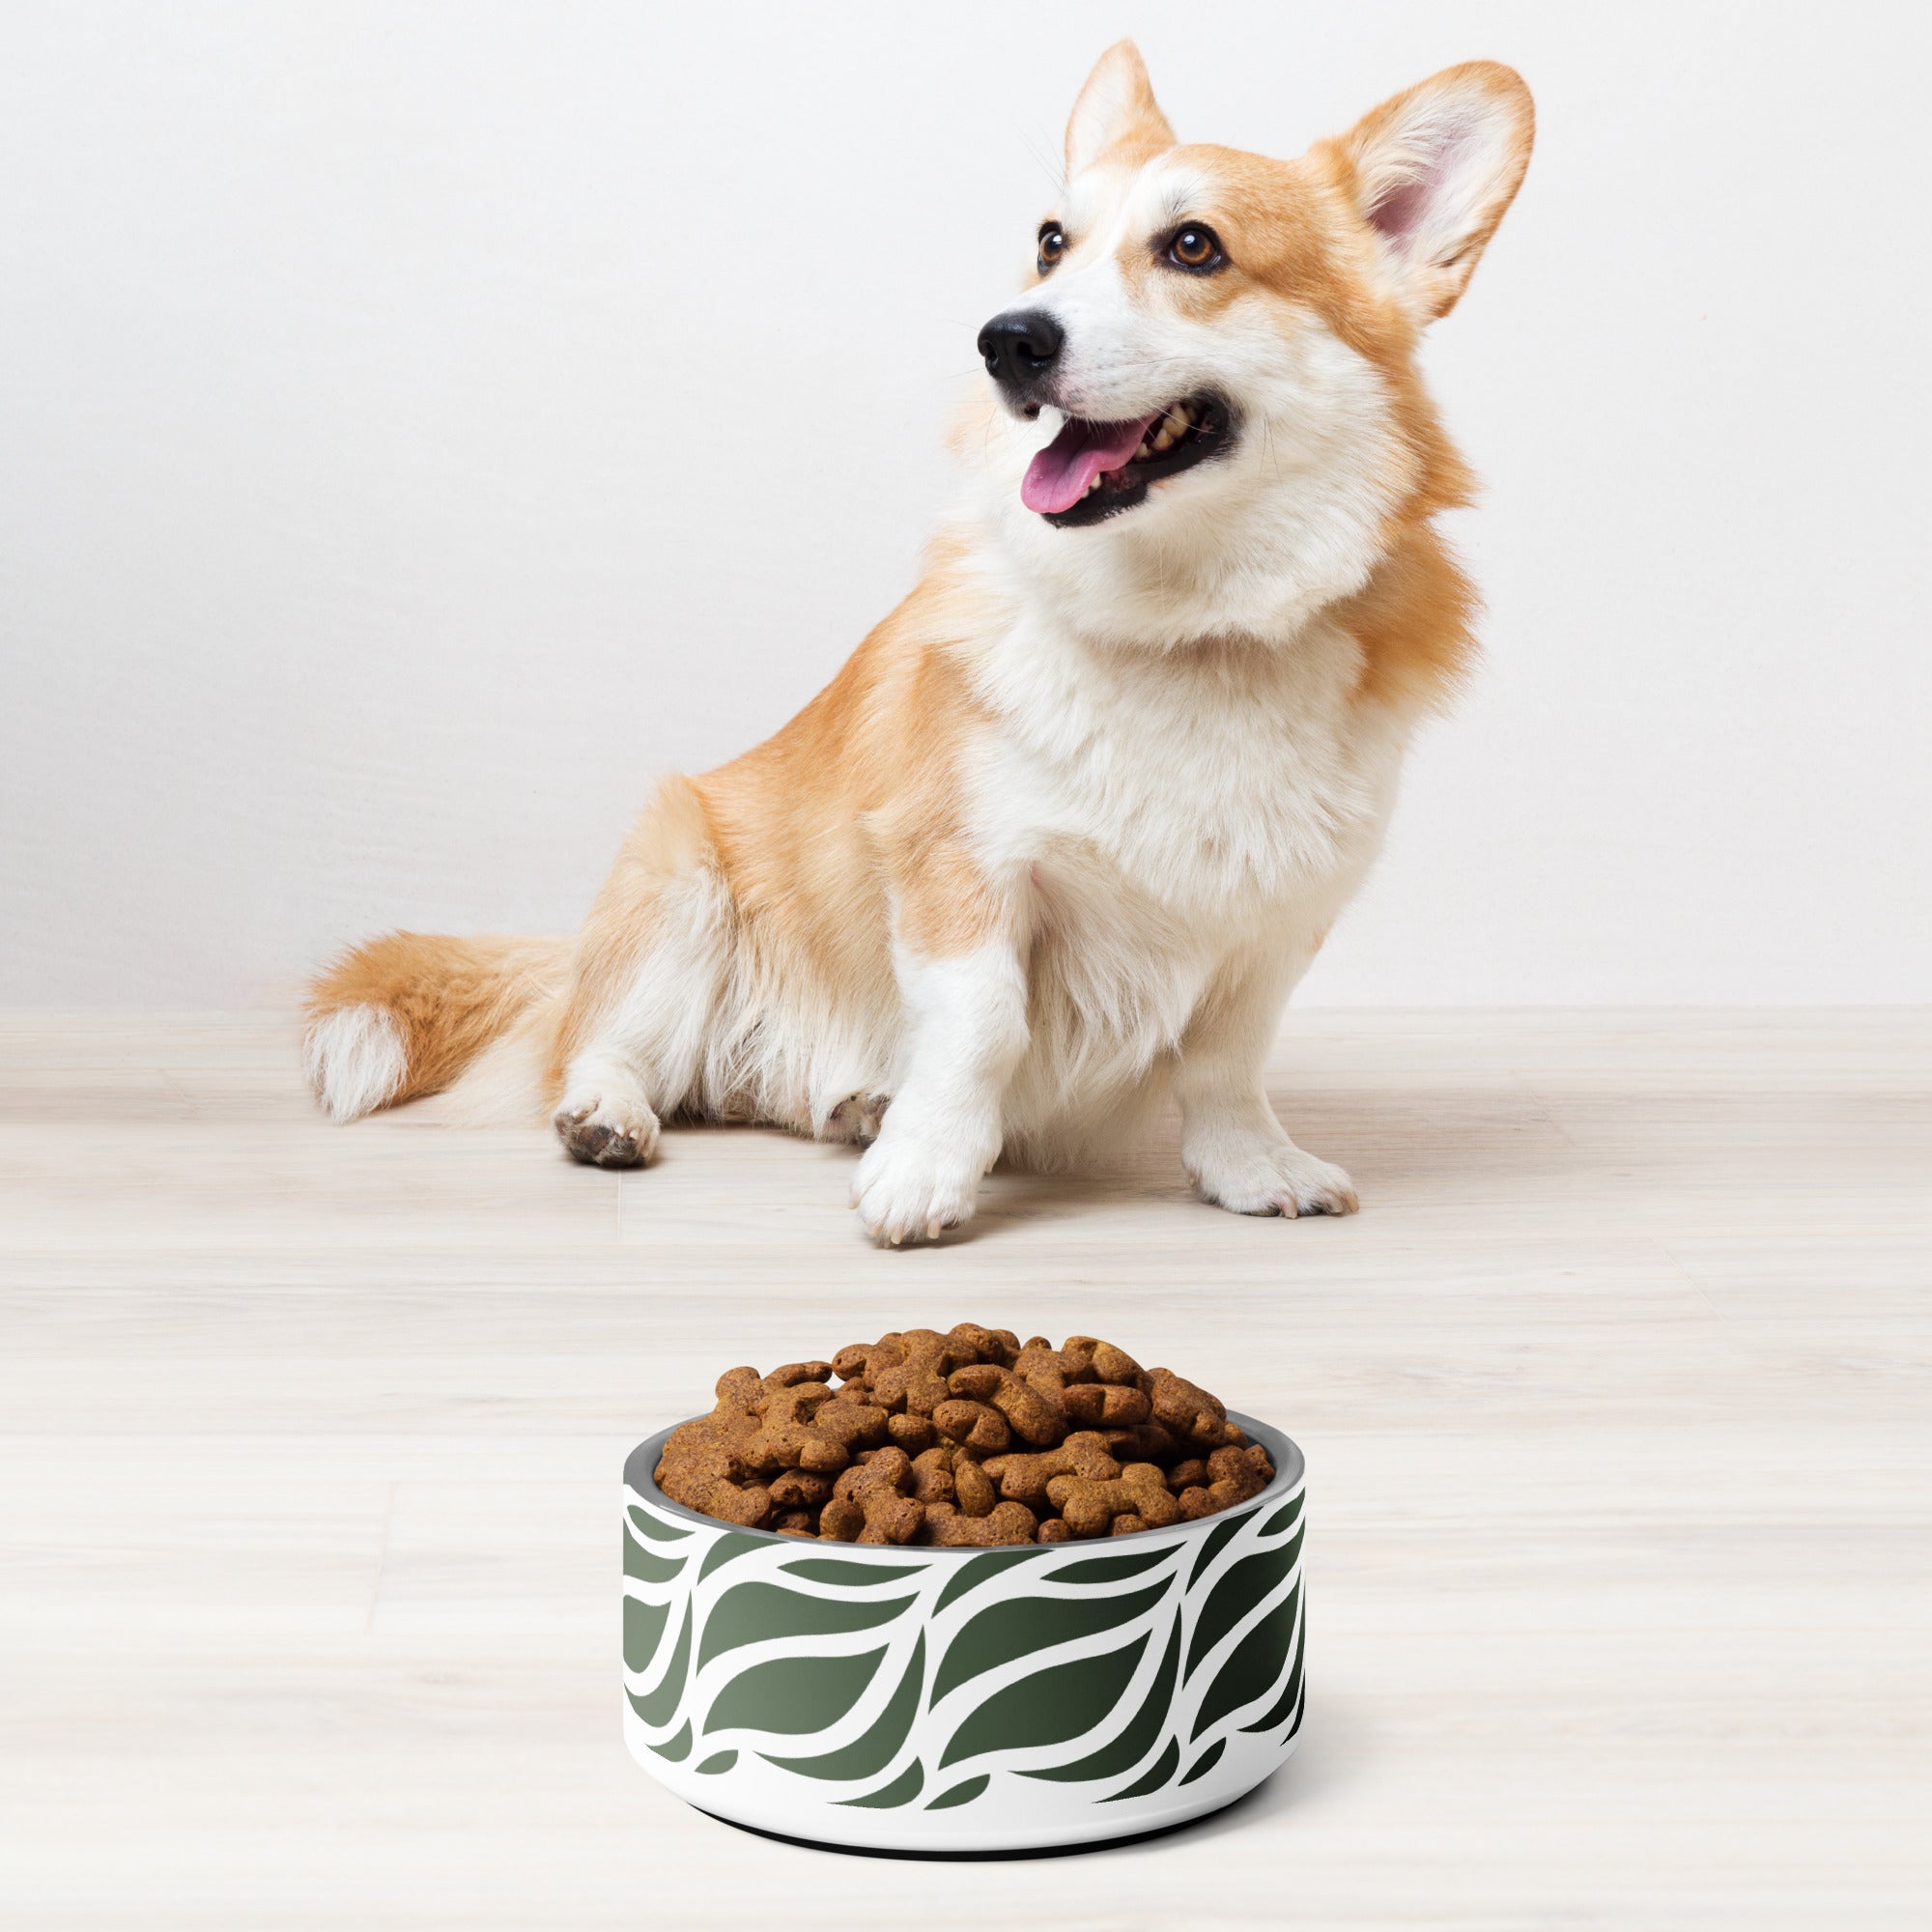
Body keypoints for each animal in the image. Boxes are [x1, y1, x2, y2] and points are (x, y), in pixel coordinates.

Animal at [309, 48, 1530, 1252]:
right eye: (1050, 242)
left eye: (1194, 246)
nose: (1007, 338)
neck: (1182, 626)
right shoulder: (959, 864)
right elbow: (982, 1023)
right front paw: (927, 1168)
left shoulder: (1272, 922)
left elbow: (1225, 1063)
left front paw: (1251, 1166)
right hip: (681, 887)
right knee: (604, 1044)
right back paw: (616, 1112)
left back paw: (855, 1103)